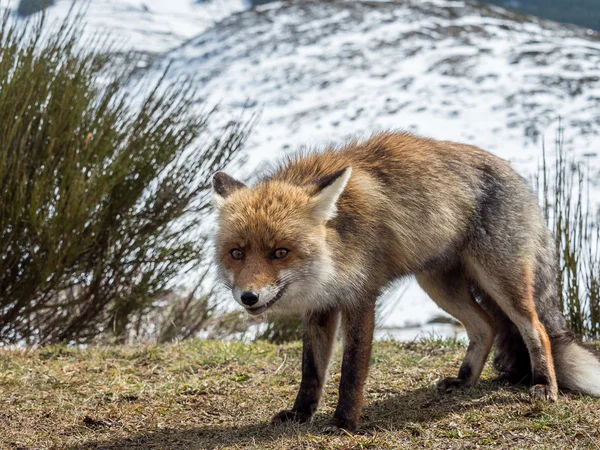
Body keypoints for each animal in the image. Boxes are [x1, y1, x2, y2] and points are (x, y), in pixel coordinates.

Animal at [212, 132, 600, 430]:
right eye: (237, 253)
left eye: (280, 252)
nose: (248, 297)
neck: (337, 243)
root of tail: (519, 178)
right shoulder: (321, 305)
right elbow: (311, 371)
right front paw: (300, 414)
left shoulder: (360, 297)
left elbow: (351, 371)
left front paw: (343, 424)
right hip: (439, 286)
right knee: (486, 325)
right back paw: (464, 380)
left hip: (501, 280)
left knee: (536, 329)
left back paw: (544, 385)